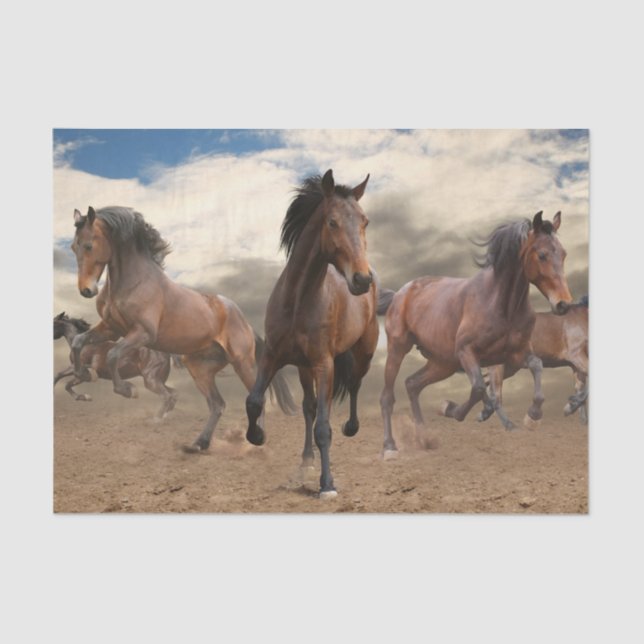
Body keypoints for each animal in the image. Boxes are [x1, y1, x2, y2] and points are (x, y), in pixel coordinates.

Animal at [69, 206, 296, 451]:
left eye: (89, 245)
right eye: (73, 247)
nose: (86, 290)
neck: (134, 282)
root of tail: (245, 323)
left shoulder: (142, 333)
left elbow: (112, 354)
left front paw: (129, 390)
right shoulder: (111, 329)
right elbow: (78, 342)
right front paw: (82, 374)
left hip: (241, 362)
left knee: (254, 397)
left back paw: (256, 438)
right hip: (199, 368)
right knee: (217, 404)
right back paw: (199, 445)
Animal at [245, 169, 381, 498]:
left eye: (365, 222)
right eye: (332, 221)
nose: (362, 279)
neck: (297, 302)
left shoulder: (324, 363)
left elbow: (323, 428)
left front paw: (327, 484)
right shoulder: (273, 357)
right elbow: (254, 401)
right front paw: (257, 436)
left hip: (361, 354)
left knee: (352, 386)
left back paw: (350, 428)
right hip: (305, 368)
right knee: (310, 408)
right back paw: (306, 462)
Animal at [379, 211, 573, 458]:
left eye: (564, 253)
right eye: (542, 254)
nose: (563, 304)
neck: (502, 305)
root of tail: (399, 294)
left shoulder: (516, 354)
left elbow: (536, 366)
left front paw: (533, 416)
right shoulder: (467, 352)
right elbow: (480, 387)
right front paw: (452, 409)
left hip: (443, 363)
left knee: (412, 384)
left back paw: (425, 438)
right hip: (398, 348)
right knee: (388, 396)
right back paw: (389, 447)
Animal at [478, 295, 588, 424]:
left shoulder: (575, 365)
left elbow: (580, 389)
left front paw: (580, 416)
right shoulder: (576, 356)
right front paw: (569, 408)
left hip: (509, 368)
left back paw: (484, 414)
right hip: (499, 366)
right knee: (494, 393)